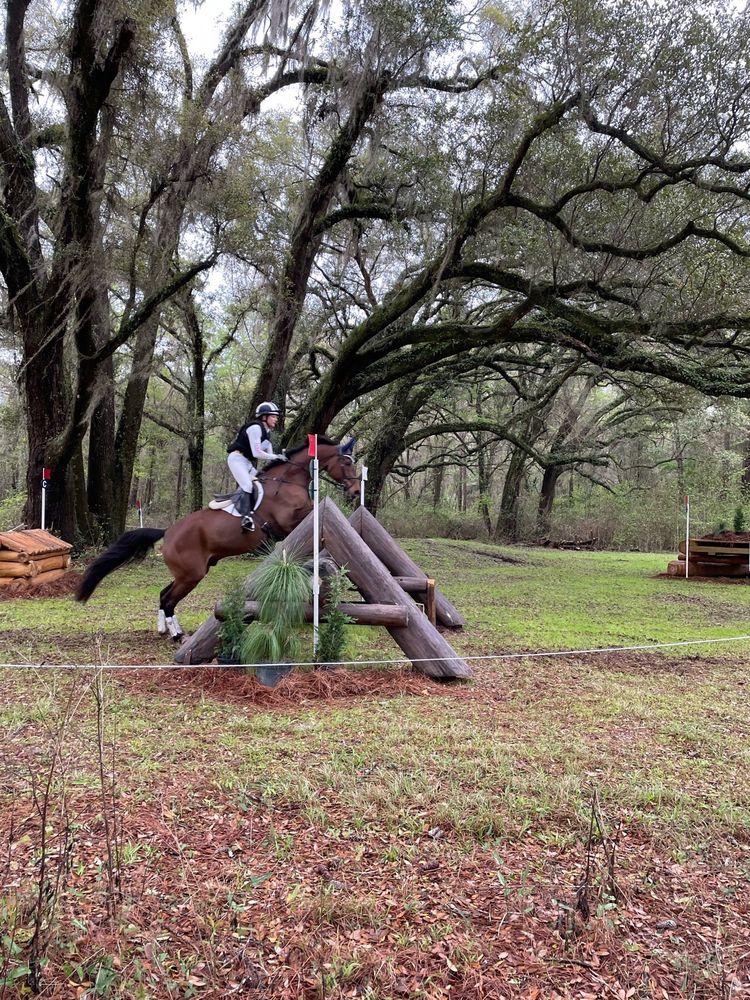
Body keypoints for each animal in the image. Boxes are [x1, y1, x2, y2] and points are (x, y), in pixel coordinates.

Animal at [76, 437, 360, 637]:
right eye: (347, 462)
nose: (356, 490)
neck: (288, 481)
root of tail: (168, 532)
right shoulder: (288, 521)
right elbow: (313, 512)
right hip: (191, 574)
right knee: (168, 598)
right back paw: (176, 635)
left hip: (188, 573)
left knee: (163, 594)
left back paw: (164, 629)